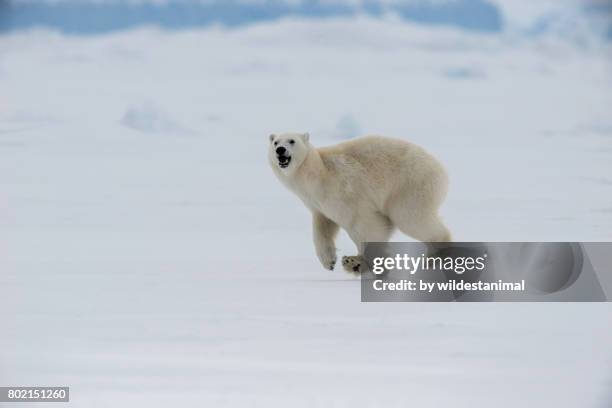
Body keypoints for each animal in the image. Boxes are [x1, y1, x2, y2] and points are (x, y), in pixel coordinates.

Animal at [268, 134, 450, 274]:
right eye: (275, 142)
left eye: (291, 140)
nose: (280, 150)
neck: (315, 173)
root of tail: (440, 168)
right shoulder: (316, 203)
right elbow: (323, 226)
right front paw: (330, 261)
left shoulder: (342, 191)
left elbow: (366, 224)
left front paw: (362, 263)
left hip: (410, 185)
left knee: (410, 218)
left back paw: (435, 256)